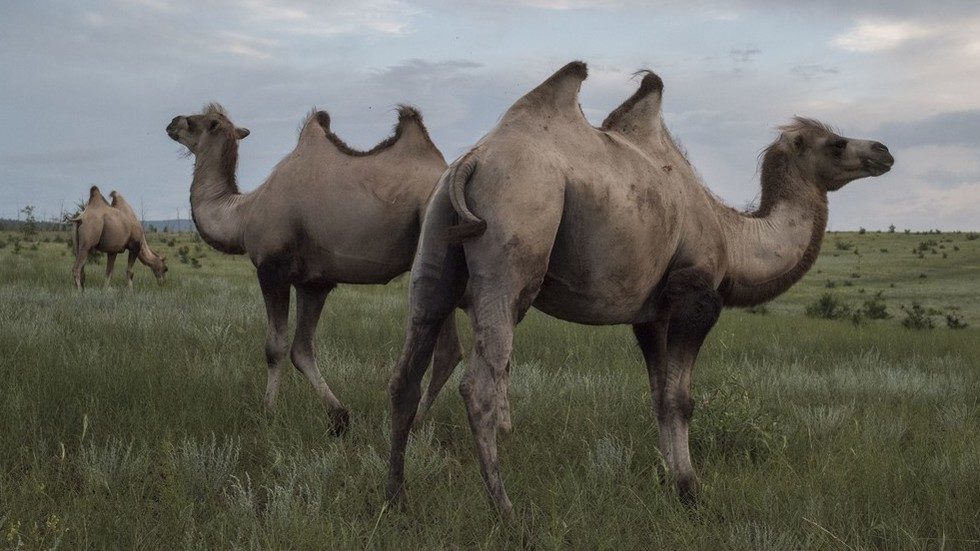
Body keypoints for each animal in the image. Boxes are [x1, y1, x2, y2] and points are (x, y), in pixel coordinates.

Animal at [166, 103, 462, 434]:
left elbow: (275, 347)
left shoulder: (272, 268)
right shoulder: (314, 283)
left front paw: (268, 413)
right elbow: (302, 350)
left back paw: (414, 423)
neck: (243, 214)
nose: (171, 123)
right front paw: (339, 417)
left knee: (446, 350)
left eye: (198, 122)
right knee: (450, 350)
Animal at [386, 61, 895, 516]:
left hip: (435, 243)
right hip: (512, 241)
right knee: (480, 386)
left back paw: (396, 501)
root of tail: (473, 160)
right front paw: (691, 491)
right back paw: (507, 513)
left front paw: (671, 482)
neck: (733, 239)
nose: (884, 150)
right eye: (836, 143)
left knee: (406, 372)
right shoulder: (695, 295)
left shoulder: (653, 314)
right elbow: (681, 399)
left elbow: (658, 396)